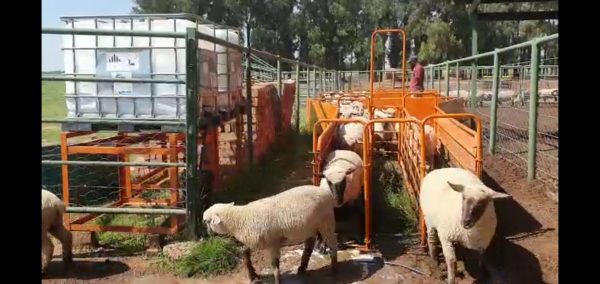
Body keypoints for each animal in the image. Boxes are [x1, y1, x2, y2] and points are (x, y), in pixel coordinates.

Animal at [203, 183, 338, 282]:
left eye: (206, 221)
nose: (208, 234)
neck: (240, 219)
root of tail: (327, 192)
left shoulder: (273, 243)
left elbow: (275, 265)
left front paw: (277, 280)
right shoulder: (254, 241)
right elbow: (245, 253)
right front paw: (252, 275)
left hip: (326, 222)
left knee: (332, 243)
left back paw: (334, 267)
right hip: (309, 227)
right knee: (309, 245)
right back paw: (302, 268)